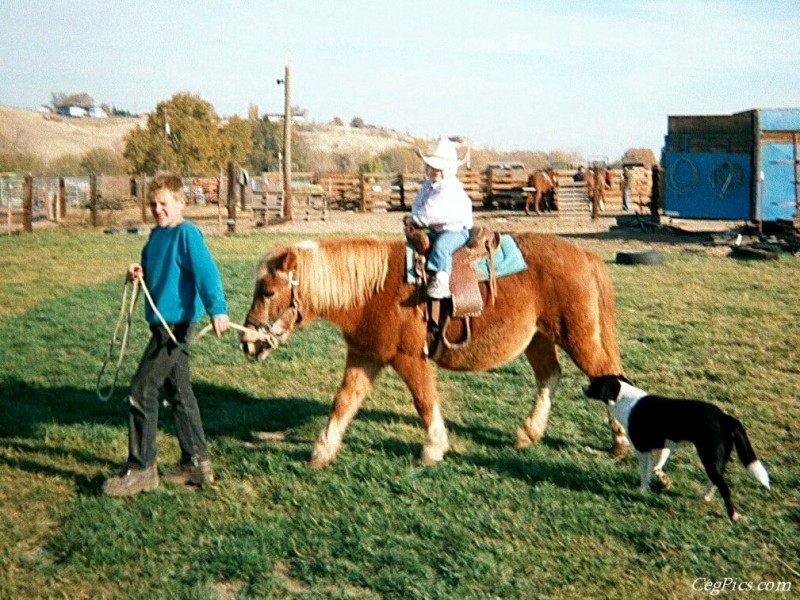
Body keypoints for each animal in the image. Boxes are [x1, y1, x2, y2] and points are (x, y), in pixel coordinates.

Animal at [241, 232, 628, 472]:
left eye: (268, 292)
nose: (247, 341)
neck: (372, 290)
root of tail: (585, 256)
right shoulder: (365, 357)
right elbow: (344, 401)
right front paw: (322, 452)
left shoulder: (408, 358)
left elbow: (424, 401)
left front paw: (433, 448)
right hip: (539, 338)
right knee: (550, 376)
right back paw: (528, 433)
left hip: (578, 337)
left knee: (609, 378)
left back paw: (620, 443)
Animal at [580, 376, 768, 520]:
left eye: (595, 383)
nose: (582, 386)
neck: (624, 399)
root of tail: (725, 417)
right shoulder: (664, 448)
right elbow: (656, 468)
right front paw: (664, 481)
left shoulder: (642, 449)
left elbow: (645, 473)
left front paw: (643, 491)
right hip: (717, 459)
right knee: (716, 481)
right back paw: (705, 496)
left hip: (709, 456)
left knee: (723, 486)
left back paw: (733, 515)